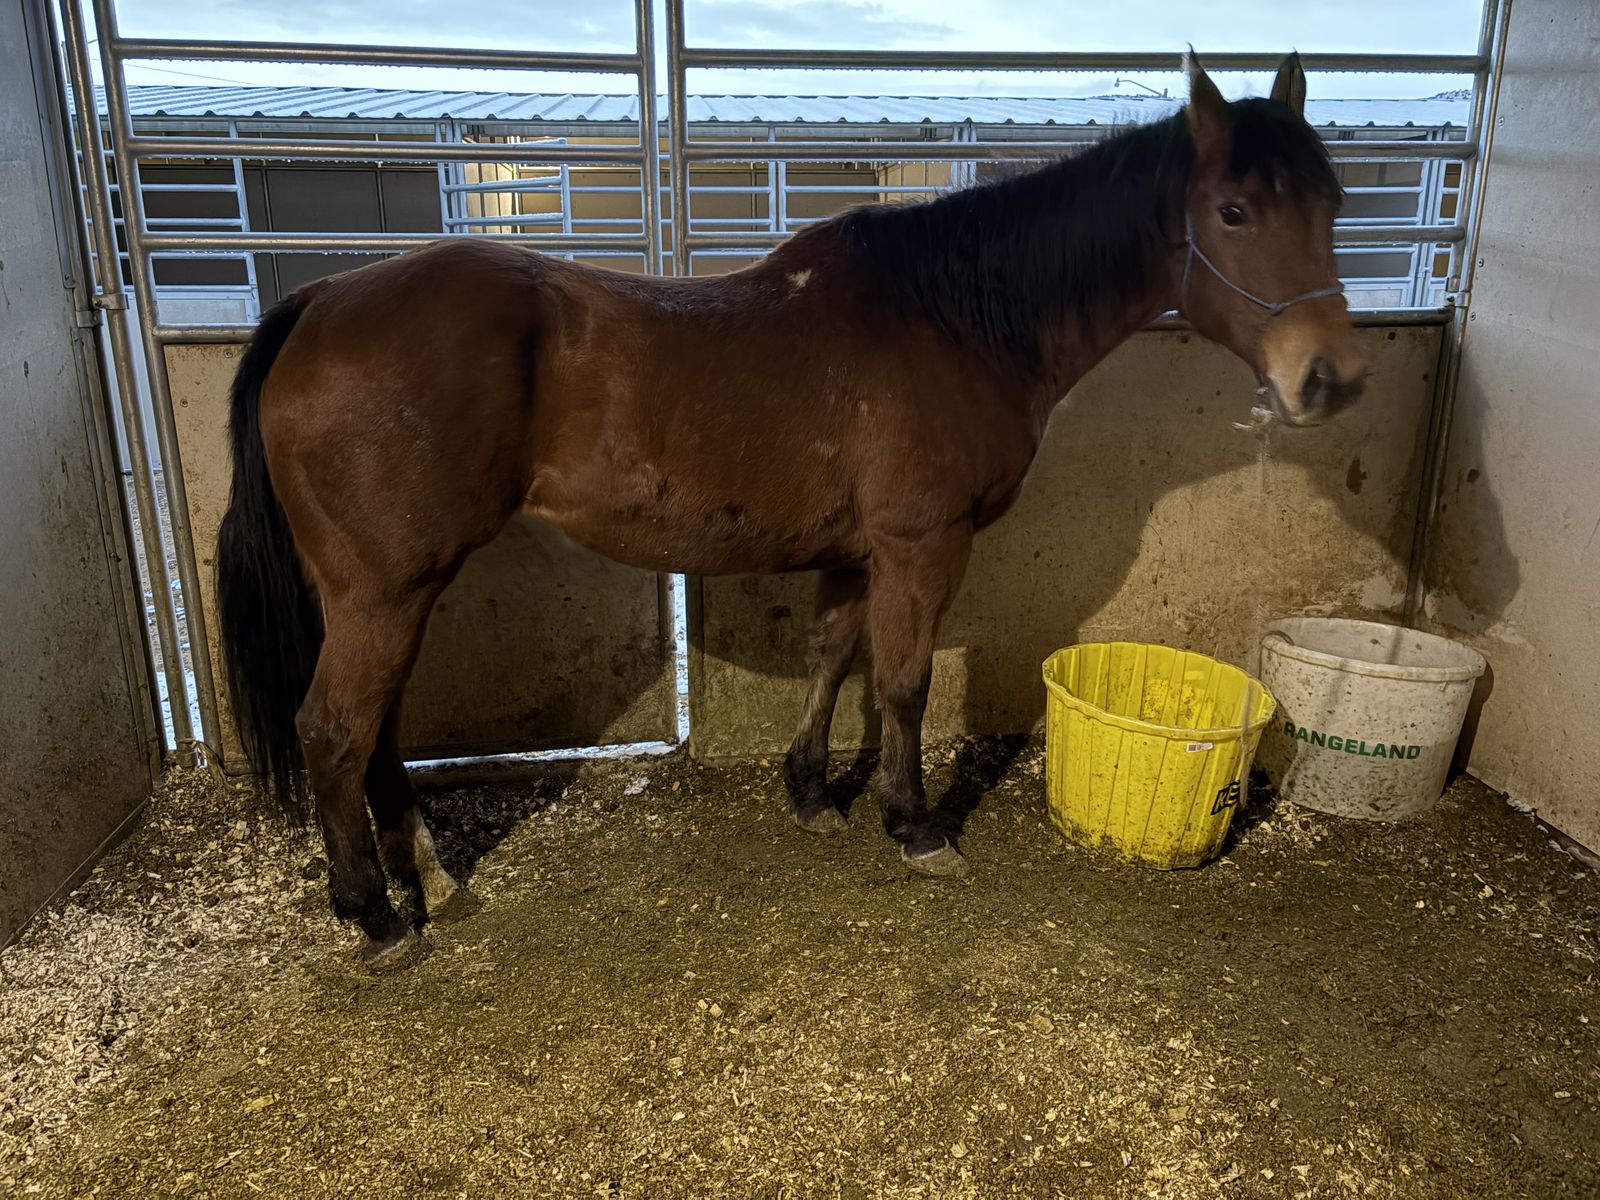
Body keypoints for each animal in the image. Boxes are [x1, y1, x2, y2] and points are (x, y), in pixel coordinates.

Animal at [215, 51, 1366, 969]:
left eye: (1335, 204)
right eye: (1232, 211)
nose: (1332, 380)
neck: (957, 318)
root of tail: (319, 302)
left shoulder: (855, 552)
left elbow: (833, 659)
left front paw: (813, 795)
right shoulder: (922, 545)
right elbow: (901, 684)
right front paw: (913, 825)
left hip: (384, 591)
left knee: (376, 731)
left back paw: (434, 881)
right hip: (385, 589)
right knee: (332, 730)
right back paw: (376, 919)